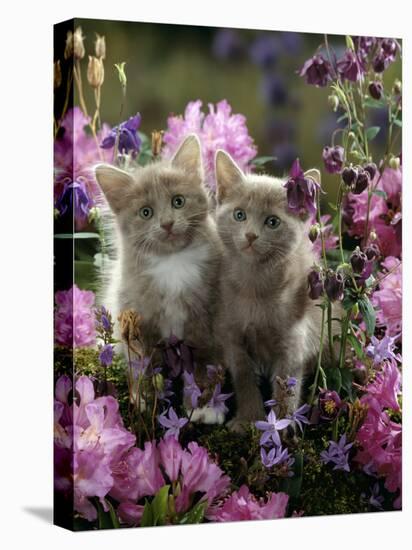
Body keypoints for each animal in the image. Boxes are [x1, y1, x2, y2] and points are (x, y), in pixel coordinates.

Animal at [94, 136, 222, 394]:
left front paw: (204, 395)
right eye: (146, 212)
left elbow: (204, 357)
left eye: (178, 201)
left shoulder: (207, 315)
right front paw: (143, 395)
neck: (172, 262)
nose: (167, 223)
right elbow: (142, 363)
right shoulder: (138, 318)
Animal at [214, 150, 330, 432]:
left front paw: (282, 424)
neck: (254, 288)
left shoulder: (294, 341)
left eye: (272, 222)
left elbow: (287, 383)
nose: (251, 236)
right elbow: (244, 378)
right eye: (239, 215)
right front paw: (247, 419)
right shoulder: (232, 336)